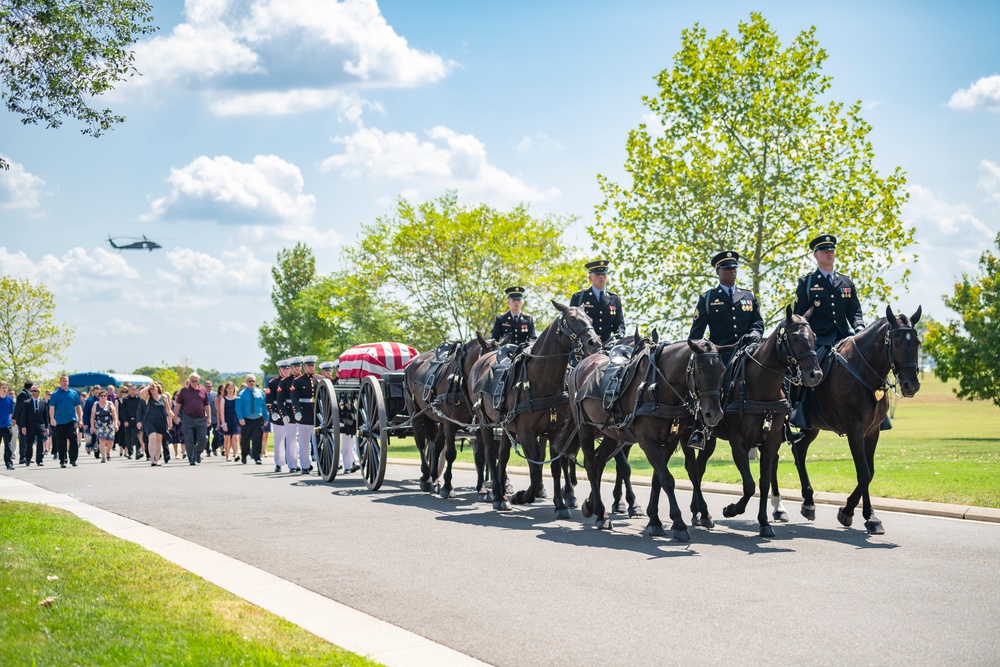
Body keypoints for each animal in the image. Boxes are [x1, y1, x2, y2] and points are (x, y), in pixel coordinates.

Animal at [404, 336, 504, 498]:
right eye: (490, 365)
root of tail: (412, 364)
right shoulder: (450, 424)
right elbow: (450, 454)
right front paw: (447, 486)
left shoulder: (478, 424)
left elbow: (480, 457)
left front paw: (481, 488)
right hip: (417, 416)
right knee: (421, 444)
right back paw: (426, 478)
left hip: (440, 421)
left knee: (436, 445)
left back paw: (434, 479)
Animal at [470, 302, 600, 516]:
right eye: (571, 319)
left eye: (589, 319)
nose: (594, 342)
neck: (542, 380)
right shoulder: (526, 433)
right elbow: (536, 470)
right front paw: (524, 495)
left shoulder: (554, 432)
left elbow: (554, 467)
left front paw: (560, 505)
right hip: (485, 423)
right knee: (490, 453)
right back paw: (498, 495)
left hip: (505, 426)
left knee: (502, 455)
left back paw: (502, 494)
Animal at [564, 336, 728, 540]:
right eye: (700, 370)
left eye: (722, 370)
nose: (714, 414)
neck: (657, 387)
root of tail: (580, 366)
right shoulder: (647, 441)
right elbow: (667, 479)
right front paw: (678, 523)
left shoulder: (670, 441)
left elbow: (658, 479)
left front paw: (654, 520)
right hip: (585, 429)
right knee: (591, 466)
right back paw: (601, 514)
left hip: (612, 434)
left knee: (598, 460)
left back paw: (590, 504)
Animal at [688, 306, 828, 536]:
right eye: (795, 337)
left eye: (814, 336)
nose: (815, 374)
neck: (762, 388)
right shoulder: (739, 444)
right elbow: (749, 485)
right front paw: (731, 509)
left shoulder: (770, 443)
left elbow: (763, 483)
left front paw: (764, 523)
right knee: (697, 469)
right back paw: (699, 513)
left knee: (699, 467)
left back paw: (698, 512)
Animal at [772, 306, 920, 536]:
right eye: (896, 343)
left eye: (917, 342)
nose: (911, 385)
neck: (863, 370)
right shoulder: (855, 430)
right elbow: (864, 472)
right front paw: (865, 516)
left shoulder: (872, 431)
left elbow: (870, 471)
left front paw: (856, 512)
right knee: (774, 457)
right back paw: (778, 508)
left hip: (811, 427)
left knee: (799, 453)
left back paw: (808, 502)